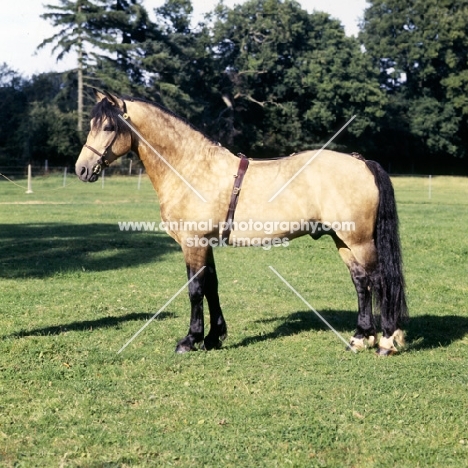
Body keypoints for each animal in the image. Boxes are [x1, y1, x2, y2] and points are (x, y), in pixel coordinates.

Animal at [75, 90, 408, 354]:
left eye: (108, 126)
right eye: (91, 125)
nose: (82, 169)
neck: (192, 169)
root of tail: (362, 162)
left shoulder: (192, 243)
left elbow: (195, 289)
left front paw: (190, 340)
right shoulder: (205, 243)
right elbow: (211, 286)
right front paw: (213, 337)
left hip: (360, 241)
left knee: (379, 281)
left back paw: (386, 341)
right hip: (343, 240)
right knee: (361, 282)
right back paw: (360, 338)